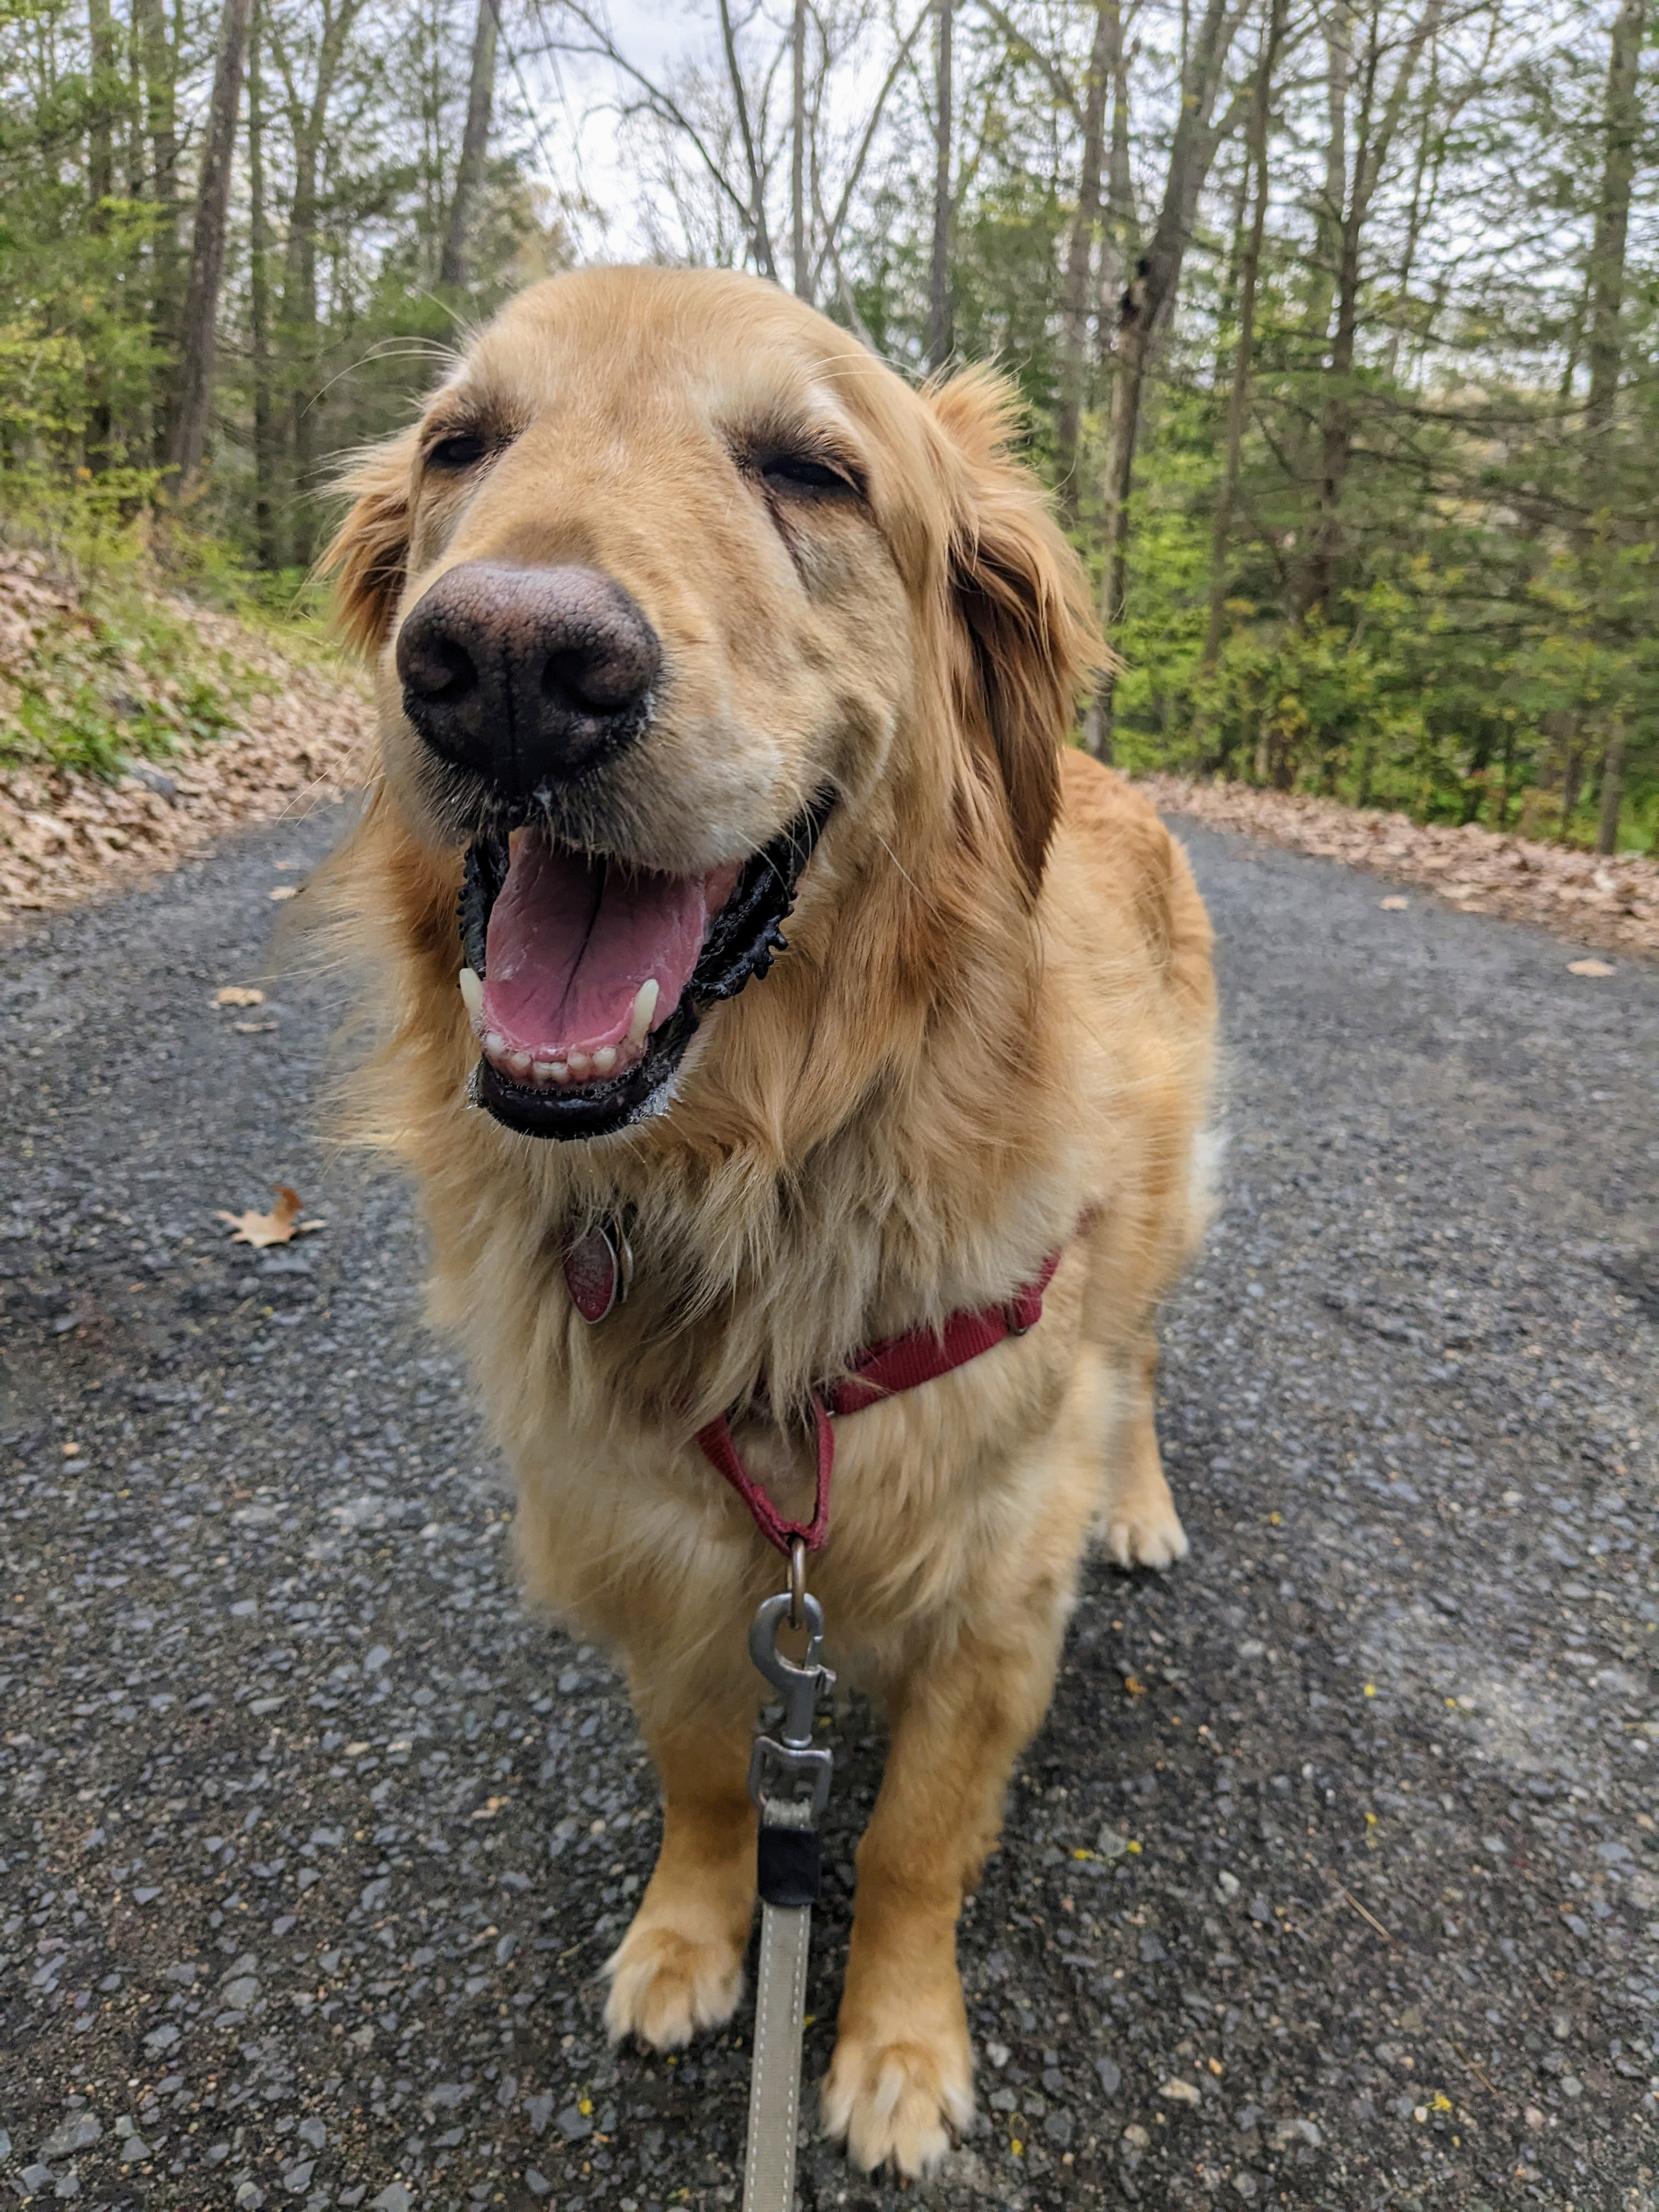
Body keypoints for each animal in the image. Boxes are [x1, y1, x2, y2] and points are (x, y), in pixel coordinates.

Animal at [322, 264, 1215, 2178]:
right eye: (460, 445)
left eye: (813, 472)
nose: (510, 671)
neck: (762, 1172)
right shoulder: (656, 1546)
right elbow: (711, 1778)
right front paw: (690, 1937)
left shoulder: (993, 1590)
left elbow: (910, 1844)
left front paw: (893, 2048)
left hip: (1160, 1236)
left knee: (1142, 1365)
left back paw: (1146, 1498)